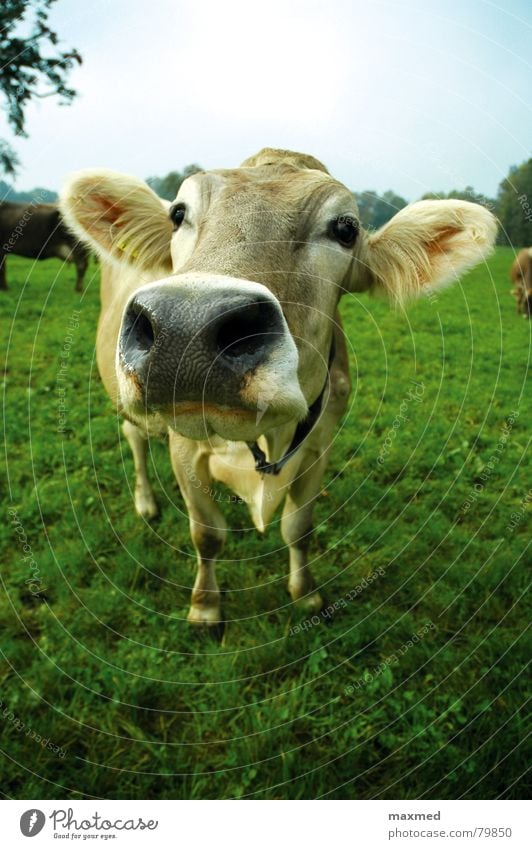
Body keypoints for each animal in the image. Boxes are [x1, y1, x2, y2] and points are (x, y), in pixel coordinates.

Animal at [59, 151, 498, 628]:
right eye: (178, 214)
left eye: (345, 229)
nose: (185, 328)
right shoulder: (184, 447)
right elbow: (207, 535)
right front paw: (206, 607)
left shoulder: (320, 444)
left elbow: (298, 528)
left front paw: (306, 595)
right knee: (135, 436)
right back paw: (145, 502)